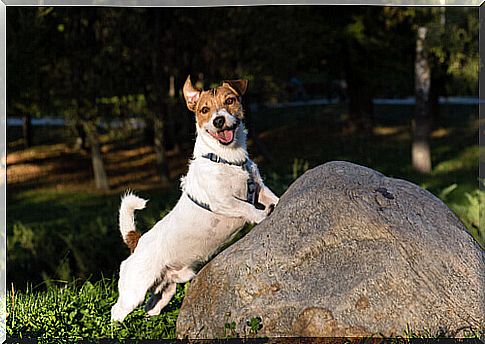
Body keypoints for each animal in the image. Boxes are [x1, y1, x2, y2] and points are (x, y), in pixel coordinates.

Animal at [108, 76, 276, 322]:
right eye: (205, 110)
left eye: (230, 100)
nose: (218, 120)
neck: (227, 159)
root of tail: (137, 241)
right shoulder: (222, 200)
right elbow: (246, 207)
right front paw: (261, 215)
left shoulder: (259, 187)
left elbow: (271, 197)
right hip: (134, 291)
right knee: (116, 311)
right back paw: (118, 327)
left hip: (165, 289)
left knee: (152, 306)